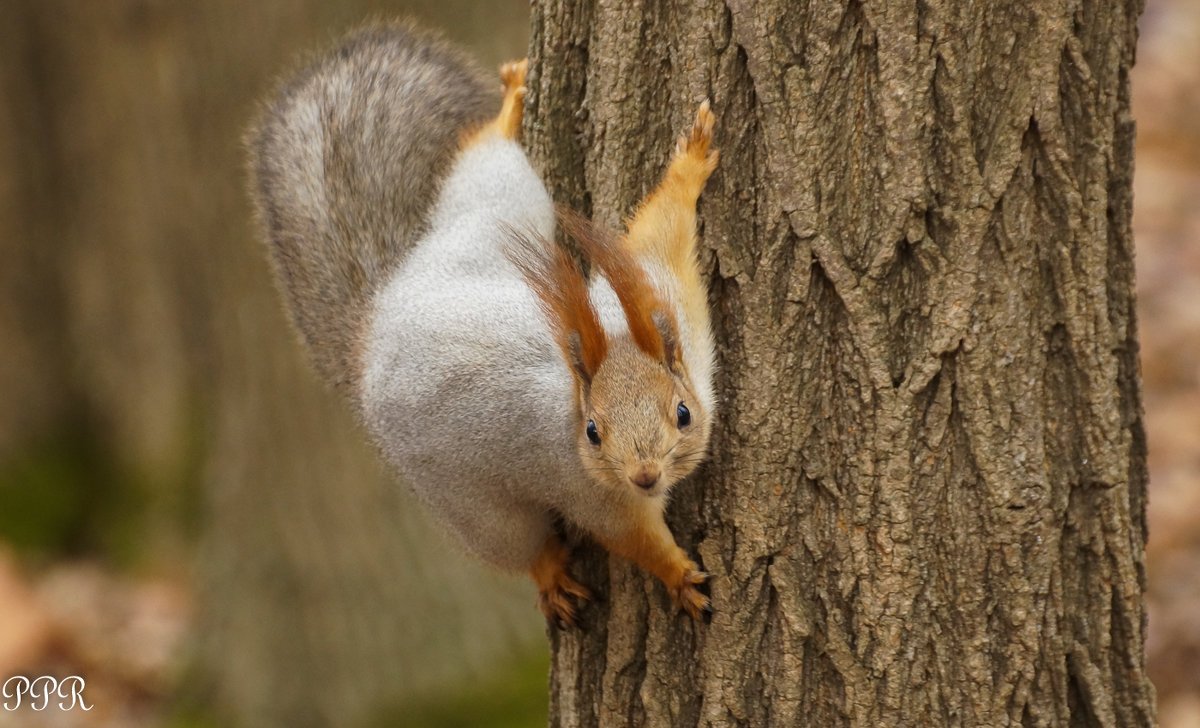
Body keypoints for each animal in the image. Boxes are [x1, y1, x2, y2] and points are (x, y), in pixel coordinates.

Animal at [247, 22, 715, 628]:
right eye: (593, 432)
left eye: (682, 413)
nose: (644, 476)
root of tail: (376, 328)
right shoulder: (593, 493)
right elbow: (634, 540)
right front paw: (678, 576)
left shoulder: (666, 295)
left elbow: (661, 229)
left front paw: (691, 165)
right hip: (467, 502)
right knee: (515, 542)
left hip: (481, 225)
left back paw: (509, 108)